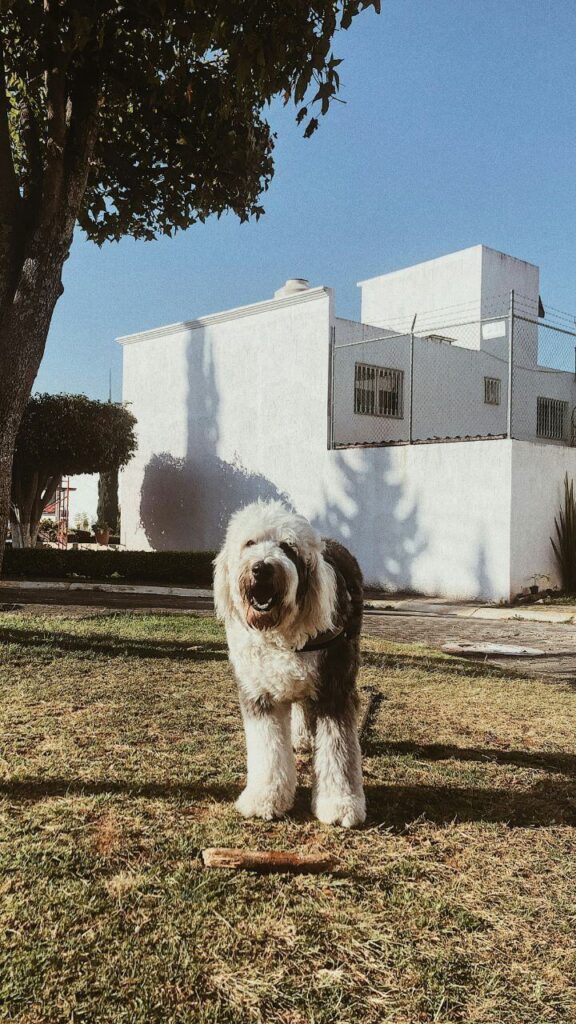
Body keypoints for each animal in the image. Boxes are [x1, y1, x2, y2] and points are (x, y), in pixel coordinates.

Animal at [213, 499, 364, 827]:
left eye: (287, 547)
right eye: (250, 543)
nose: (261, 567)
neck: (281, 630)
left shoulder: (335, 688)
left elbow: (338, 749)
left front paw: (339, 803)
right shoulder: (259, 694)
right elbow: (267, 748)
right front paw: (265, 797)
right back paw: (301, 738)